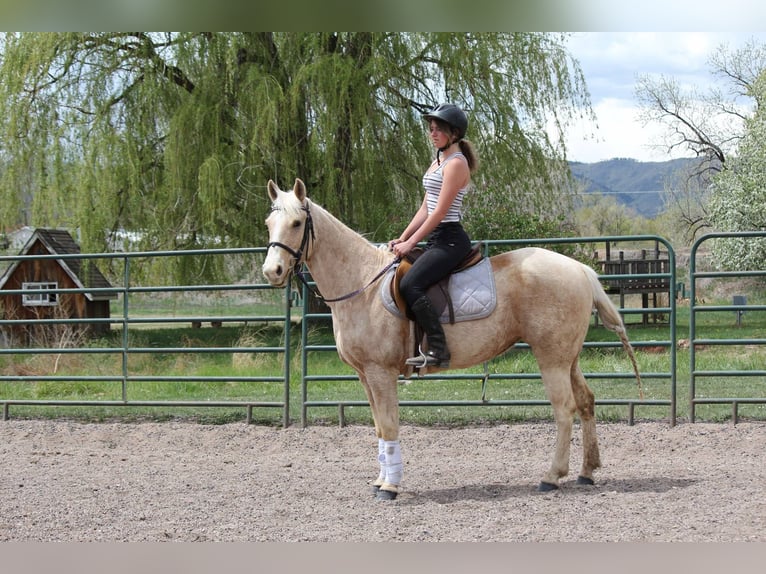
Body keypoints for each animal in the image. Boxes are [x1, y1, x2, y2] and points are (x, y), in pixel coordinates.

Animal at [262, 178, 642, 500]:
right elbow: (379, 428)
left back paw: (551, 477)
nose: (272, 272)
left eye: (297, 224)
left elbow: (389, 424)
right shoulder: (364, 375)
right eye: (269, 223)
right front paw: (380, 479)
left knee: (564, 409)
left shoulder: (381, 373)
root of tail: (580, 269)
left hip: (551, 358)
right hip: (569, 357)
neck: (363, 284)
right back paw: (587, 472)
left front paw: (390, 486)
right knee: (586, 402)